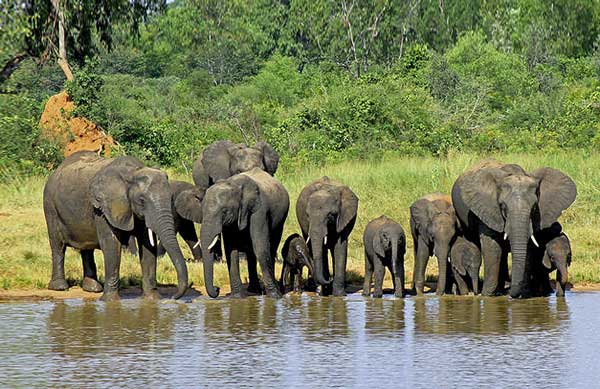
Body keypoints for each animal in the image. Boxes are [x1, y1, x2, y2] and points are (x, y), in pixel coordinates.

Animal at [43, 149, 189, 300]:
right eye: (142, 200)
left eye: (171, 198)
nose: (173, 297)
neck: (133, 172)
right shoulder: (103, 207)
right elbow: (112, 244)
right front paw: (109, 300)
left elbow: (147, 246)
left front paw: (152, 299)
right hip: (50, 205)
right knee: (58, 245)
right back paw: (60, 287)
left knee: (86, 248)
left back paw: (93, 289)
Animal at [200, 167, 290, 298]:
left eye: (224, 212)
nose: (217, 289)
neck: (234, 186)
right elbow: (231, 250)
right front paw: (236, 297)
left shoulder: (259, 211)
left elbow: (260, 247)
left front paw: (275, 296)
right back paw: (254, 290)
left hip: (281, 218)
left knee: (272, 246)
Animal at [454, 159, 576, 296]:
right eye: (503, 206)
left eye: (534, 207)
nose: (511, 292)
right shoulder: (487, 209)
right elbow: (492, 247)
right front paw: (487, 295)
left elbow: (529, 248)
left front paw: (524, 294)